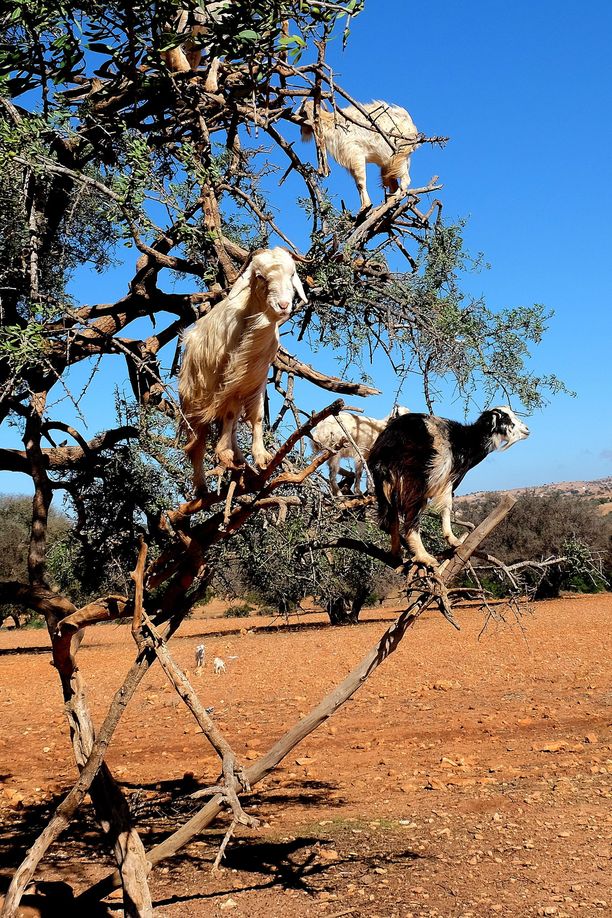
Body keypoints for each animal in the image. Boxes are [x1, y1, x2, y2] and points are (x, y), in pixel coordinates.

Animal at [179, 244, 308, 488]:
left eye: (292, 274)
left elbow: (255, 416)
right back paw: (201, 485)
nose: (284, 305)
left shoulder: (255, 377)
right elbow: (228, 416)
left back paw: (238, 457)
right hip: (194, 397)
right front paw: (224, 453)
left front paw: (261, 456)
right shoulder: (227, 380)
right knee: (198, 440)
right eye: (261, 277)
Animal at [368, 410, 532, 568]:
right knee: (410, 520)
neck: (466, 441)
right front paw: (452, 539)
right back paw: (425, 557)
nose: (527, 430)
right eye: (506, 418)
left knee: (391, 517)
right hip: (415, 483)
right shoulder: (448, 480)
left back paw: (396, 552)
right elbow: (447, 506)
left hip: (385, 486)